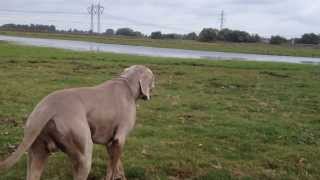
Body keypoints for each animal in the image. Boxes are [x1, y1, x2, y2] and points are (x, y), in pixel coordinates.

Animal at [0, 65, 155, 180]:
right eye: (153, 77)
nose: (156, 84)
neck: (126, 84)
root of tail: (47, 108)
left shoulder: (110, 141)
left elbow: (117, 164)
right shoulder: (119, 138)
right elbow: (112, 166)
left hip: (37, 151)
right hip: (84, 153)